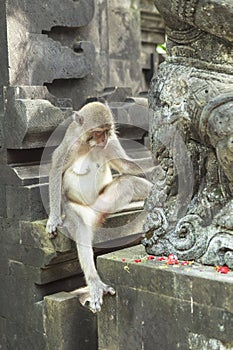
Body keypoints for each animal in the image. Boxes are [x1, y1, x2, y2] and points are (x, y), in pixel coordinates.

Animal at [46, 101, 154, 312]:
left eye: (107, 131)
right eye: (97, 132)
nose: (103, 139)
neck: (88, 144)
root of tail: (98, 216)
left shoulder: (111, 143)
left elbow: (125, 166)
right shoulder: (70, 142)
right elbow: (56, 169)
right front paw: (53, 217)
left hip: (105, 202)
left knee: (127, 183)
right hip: (79, 210)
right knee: (80, 229)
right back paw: (95, 284)